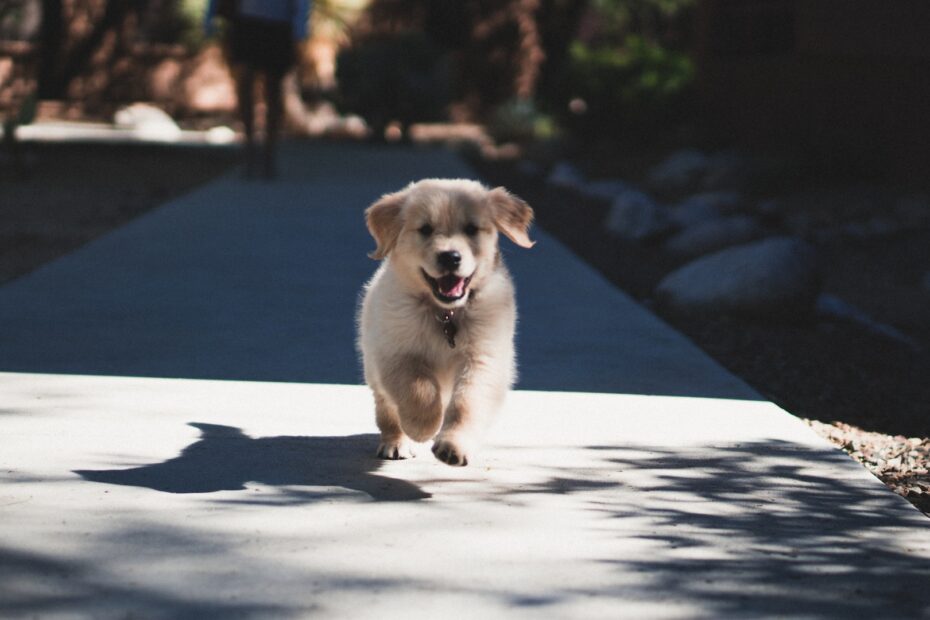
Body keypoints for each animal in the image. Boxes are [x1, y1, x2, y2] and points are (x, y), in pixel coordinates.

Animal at [356, 179, 532, 464]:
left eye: (471, 229)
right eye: (425, 229)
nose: (450, 257)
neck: (445, 313)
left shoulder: (483, 357)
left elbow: (467, 404)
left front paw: (454, 445)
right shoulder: (395, 352)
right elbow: (419, 389)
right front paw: (423, 426)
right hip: (372, 367)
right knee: (387, 409)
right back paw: (396, 442)